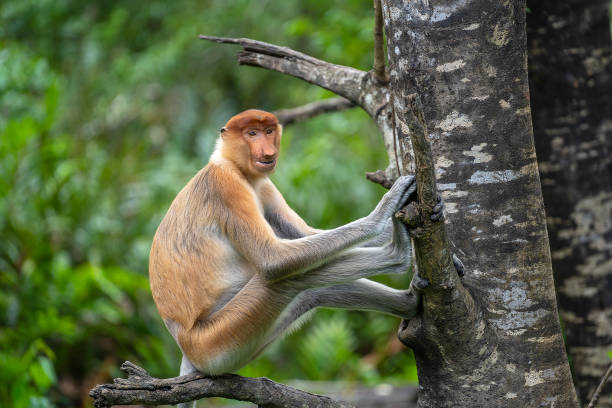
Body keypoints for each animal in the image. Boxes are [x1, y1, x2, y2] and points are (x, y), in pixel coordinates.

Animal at [148, 108, 444, 396]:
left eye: (269, 131)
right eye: (252, 133)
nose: (268, 151)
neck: (233, 166)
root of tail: (184, 343)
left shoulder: (265, 187)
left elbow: (306, 235)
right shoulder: (226, 186)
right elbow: (273, 260)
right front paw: (385, 209)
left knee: (313, 289)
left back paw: (409, 300)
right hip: (217, 342)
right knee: (286, 280)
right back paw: (398, 253)